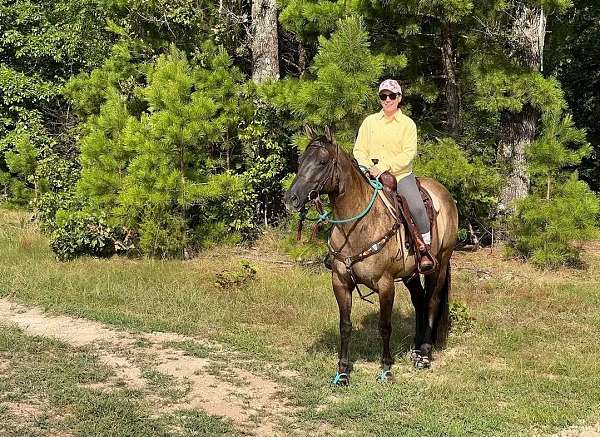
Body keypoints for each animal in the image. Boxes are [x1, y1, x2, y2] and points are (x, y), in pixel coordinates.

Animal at [284, 127, 458, 384]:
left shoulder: (386, 284)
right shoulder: (340, 282)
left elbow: (384, 326)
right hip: (410, 274)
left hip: (440, 265)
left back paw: (425, 355)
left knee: (432, 302)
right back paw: (416, 350)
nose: (291, 199)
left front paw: (386, 369)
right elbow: (345, 325)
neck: (358, 226)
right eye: (300, 160)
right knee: (419, 301)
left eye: (322, 162)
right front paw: (343, 372)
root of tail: (445, 194)